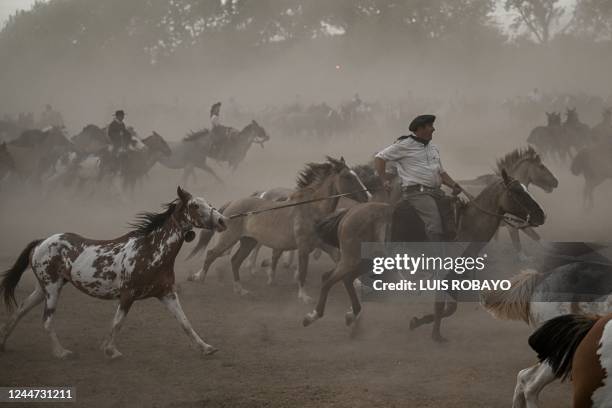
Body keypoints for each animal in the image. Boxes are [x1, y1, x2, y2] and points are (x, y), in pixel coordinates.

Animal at [0, 186, 227, 358]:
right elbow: (117, 322)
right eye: (195, 205)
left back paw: (4, 343)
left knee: (19, 311)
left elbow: (185, 322)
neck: (150, 250)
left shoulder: (167, 294)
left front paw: (206, 348)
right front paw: (110, 350)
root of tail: (41, 242)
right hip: (52, 288)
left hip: (43, 289)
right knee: (46, 321)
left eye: (208, 203)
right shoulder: (127, 295)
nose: (222, 220)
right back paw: (61, 352)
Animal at [306, 171, 544, 342]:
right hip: (352, 258)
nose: (541, 215)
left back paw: (352, 316)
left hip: (366, 261)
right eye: (517, 192)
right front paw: (436, 336)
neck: (465, 225)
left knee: (344, 279)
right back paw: (313, 316)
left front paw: (418, 322)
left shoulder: (455, 277)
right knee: (328, 279)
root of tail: (349, 213)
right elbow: (441, 306)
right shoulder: (442, 274)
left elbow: (450, 309)